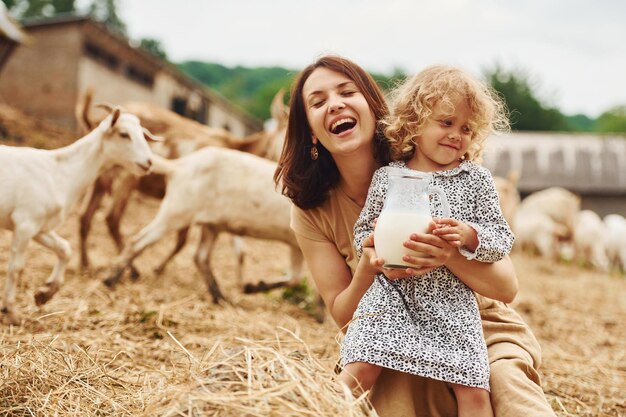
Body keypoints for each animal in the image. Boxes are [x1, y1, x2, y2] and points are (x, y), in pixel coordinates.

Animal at [0, 105, 156, 324]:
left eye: (143, 134)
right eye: (124, 134)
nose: (148, 162)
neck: (60, 171)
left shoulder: (41, 228)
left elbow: (65, 249)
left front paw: (44, 293)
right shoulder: (25, 223)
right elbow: (16, 267)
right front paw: (11, 311)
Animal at [103, 145, 310, 306]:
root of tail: (178, 167)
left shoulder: (296, 244)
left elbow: (295, 278)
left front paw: (251, 287)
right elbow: (298, 278)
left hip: (211, 225)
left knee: (200, 257)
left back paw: (220, 298)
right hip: (176, 212)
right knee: (138, 241)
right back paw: (110, 280)